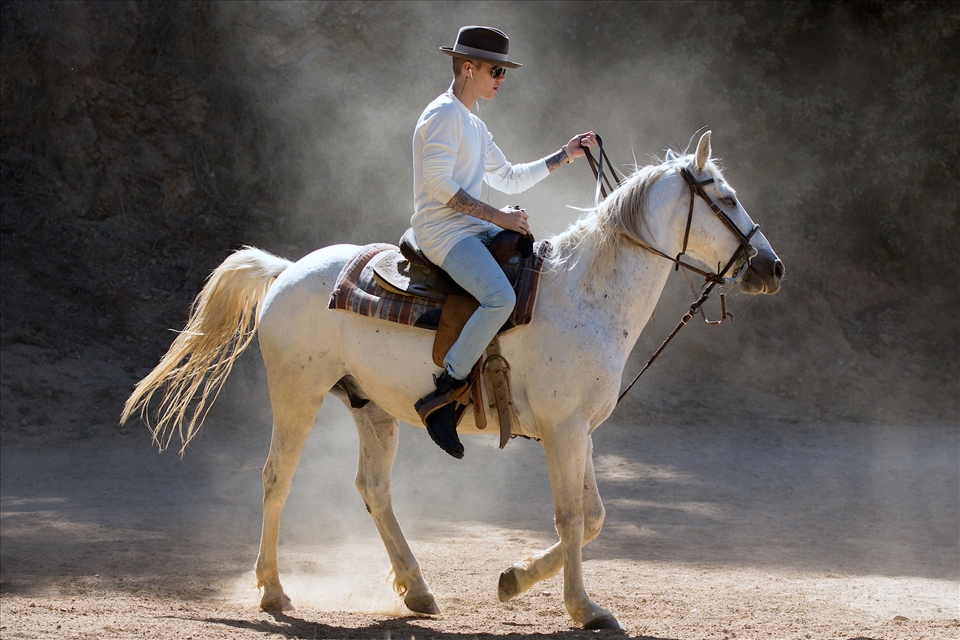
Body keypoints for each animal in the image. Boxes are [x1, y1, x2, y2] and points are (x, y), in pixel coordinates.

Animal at [122, 131, 783, 630]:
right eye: (726, 197)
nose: (771, 267)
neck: (584, 296)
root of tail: (288, 271)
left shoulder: (580, 431)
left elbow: (593, 517)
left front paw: (513, 579)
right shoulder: (564, 430)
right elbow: (571, 517)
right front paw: (584, 608)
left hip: (370, 407)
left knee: (373, 489)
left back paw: (416, 589)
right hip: (297, 395)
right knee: (276, 479)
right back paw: (273, 591)